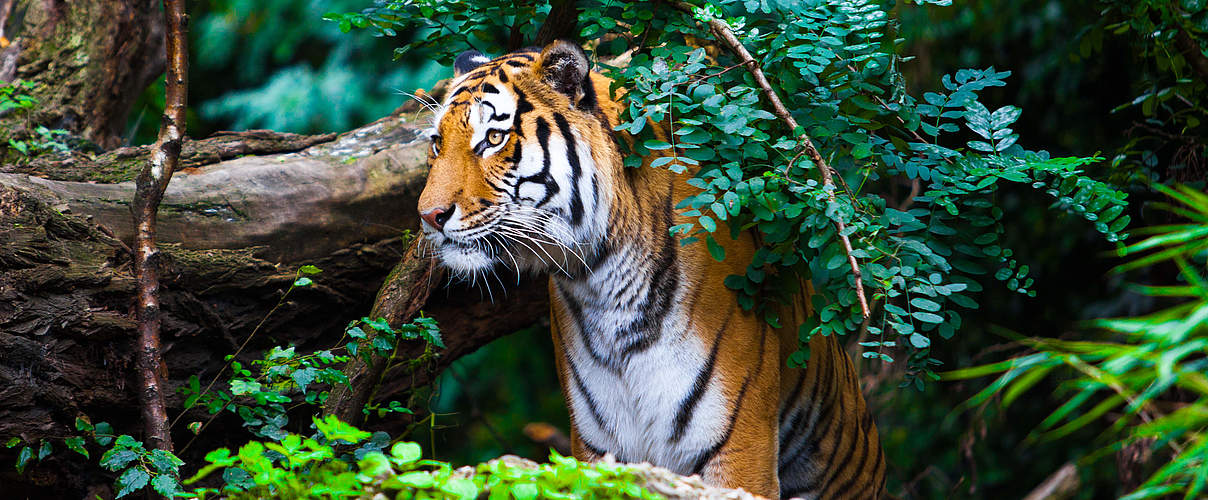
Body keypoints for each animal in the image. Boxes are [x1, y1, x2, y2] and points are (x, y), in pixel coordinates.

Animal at [417, 41, 889, 497]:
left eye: (494, 137)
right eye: (437, 143)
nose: (428, 216)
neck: (602, 282)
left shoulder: (739, 447)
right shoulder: (599, 446)